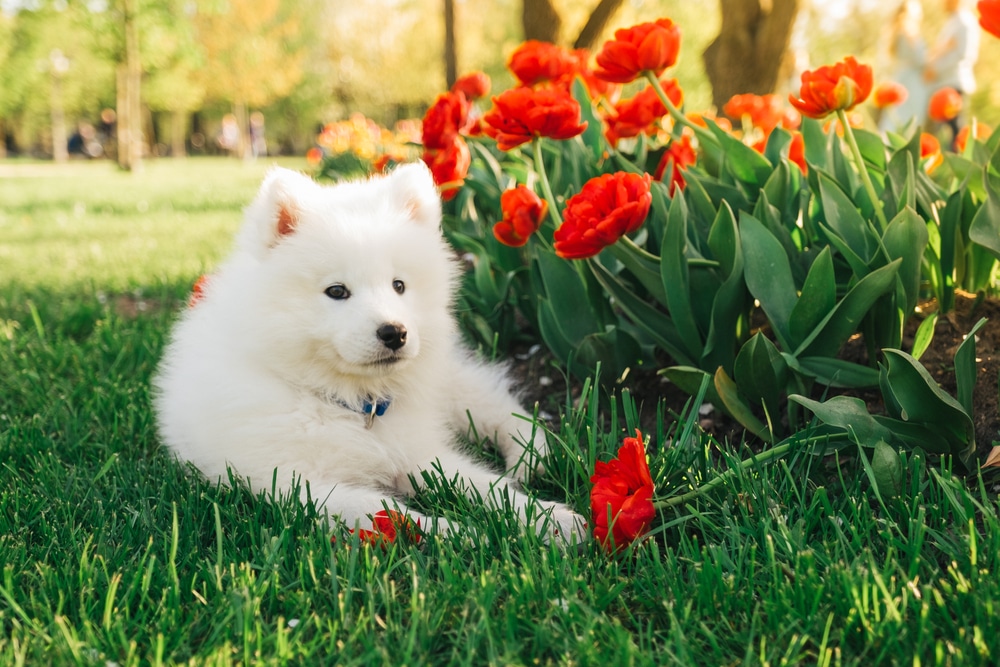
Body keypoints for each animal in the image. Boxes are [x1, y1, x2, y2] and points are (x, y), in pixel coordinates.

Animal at [151, 162, 584, 544]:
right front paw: (461, 534)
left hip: (450, 382)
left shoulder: (421, 453)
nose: (395, 333)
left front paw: (552, 520)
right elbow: (391, 513)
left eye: (399, 285)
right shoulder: (299, 483)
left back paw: (531, 457)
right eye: (336, 291)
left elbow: (488, 487)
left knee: (496, 407)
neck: (352, 404)